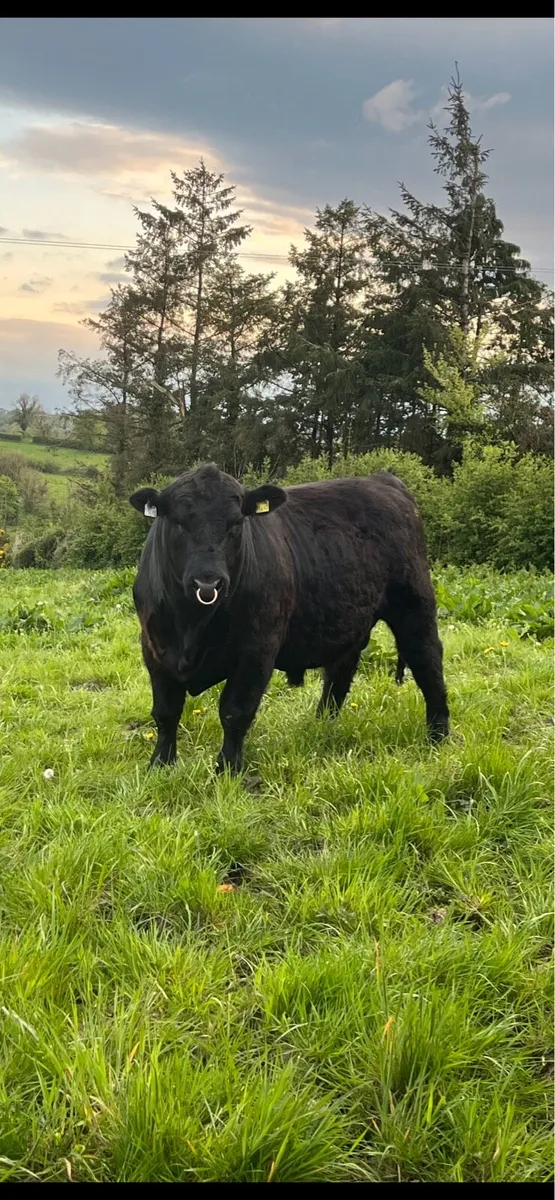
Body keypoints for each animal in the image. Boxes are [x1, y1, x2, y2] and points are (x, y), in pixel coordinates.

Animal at [129, 463, 449, 775]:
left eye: (237, 523)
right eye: (178, 522)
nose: (208, 582)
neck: (192, 625)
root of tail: (383, 479)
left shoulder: (257, 651)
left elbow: (235, 711)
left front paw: (228, 769)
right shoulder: (154, 649)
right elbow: (166, 712)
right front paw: (159, 765)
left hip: (413, 605)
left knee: (427, 661)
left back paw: (438, 735)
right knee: (339, 673)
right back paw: (322, 725)